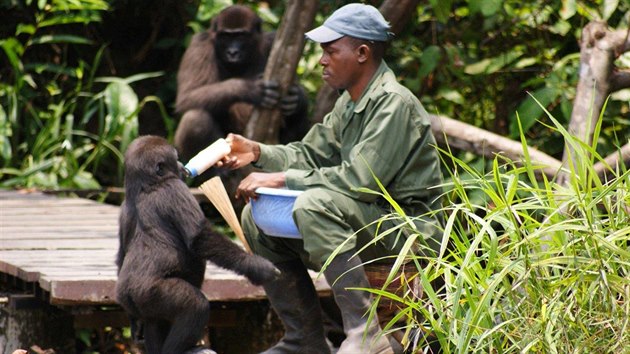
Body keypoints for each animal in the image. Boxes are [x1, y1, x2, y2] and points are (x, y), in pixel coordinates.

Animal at [116, 136, 278, 354]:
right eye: (175, 158)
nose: (181, 166)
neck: (146, 185)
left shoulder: (124, 210)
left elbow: (122, 253)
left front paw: (136, 325)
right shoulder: (175, 189)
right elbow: (199, 238)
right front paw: (256, 266)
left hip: (134, 301)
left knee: (153, 320)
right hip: (147, 293)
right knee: (195, 306)